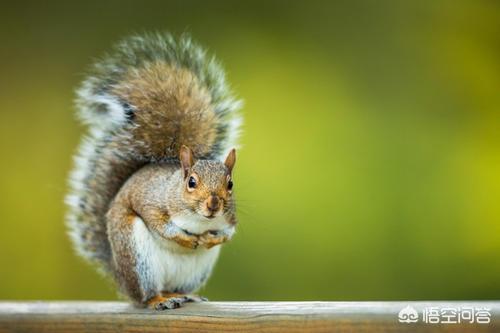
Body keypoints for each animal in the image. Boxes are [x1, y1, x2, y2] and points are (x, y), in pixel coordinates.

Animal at [66, 33, 242, 308]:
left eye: (230, 184)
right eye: (191, 182)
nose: (213, 205)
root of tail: (119, 276)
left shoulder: (230, 218)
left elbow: (228, 232)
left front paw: (210, 239)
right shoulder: (152, 201)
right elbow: (159, 223)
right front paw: (187, 238)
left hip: (194, 271)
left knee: (174, 287)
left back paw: (184, 295)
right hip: (137, 257)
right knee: (145, 295)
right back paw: (158, 300)